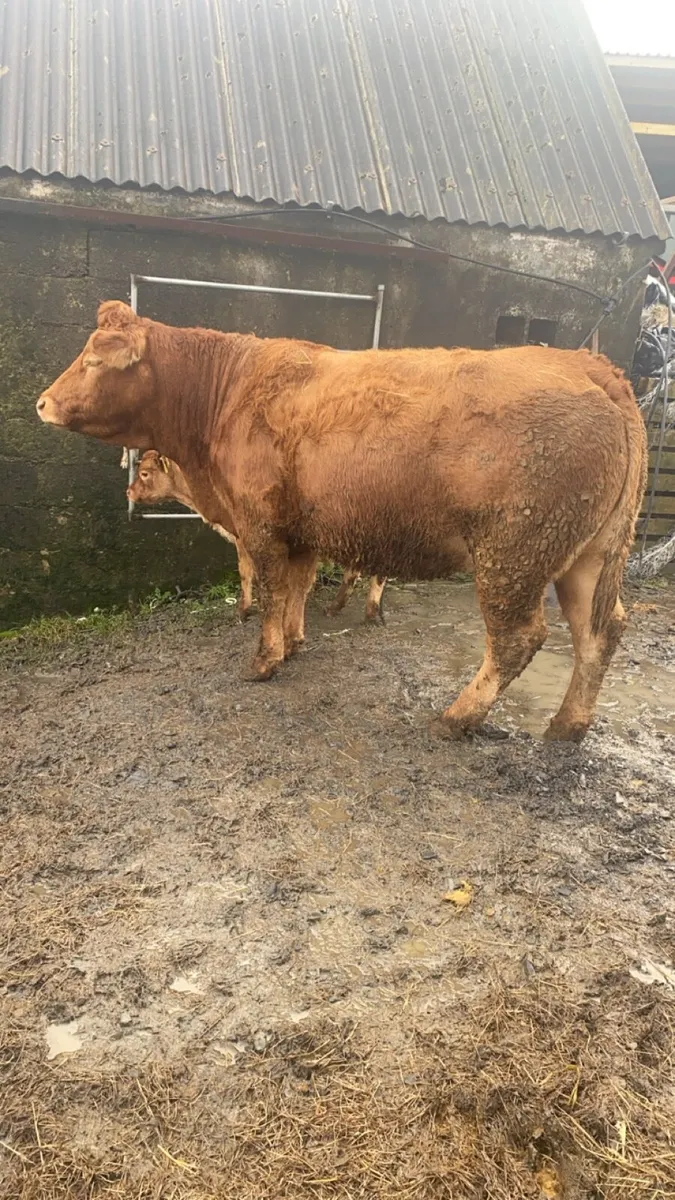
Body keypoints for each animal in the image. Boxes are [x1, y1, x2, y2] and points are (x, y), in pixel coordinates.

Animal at [127, 448, 387, 623]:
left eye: (145, 473)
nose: (128, 491)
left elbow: (246, 572)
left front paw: (244, 610)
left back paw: (368, 611)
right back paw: (341, 607)